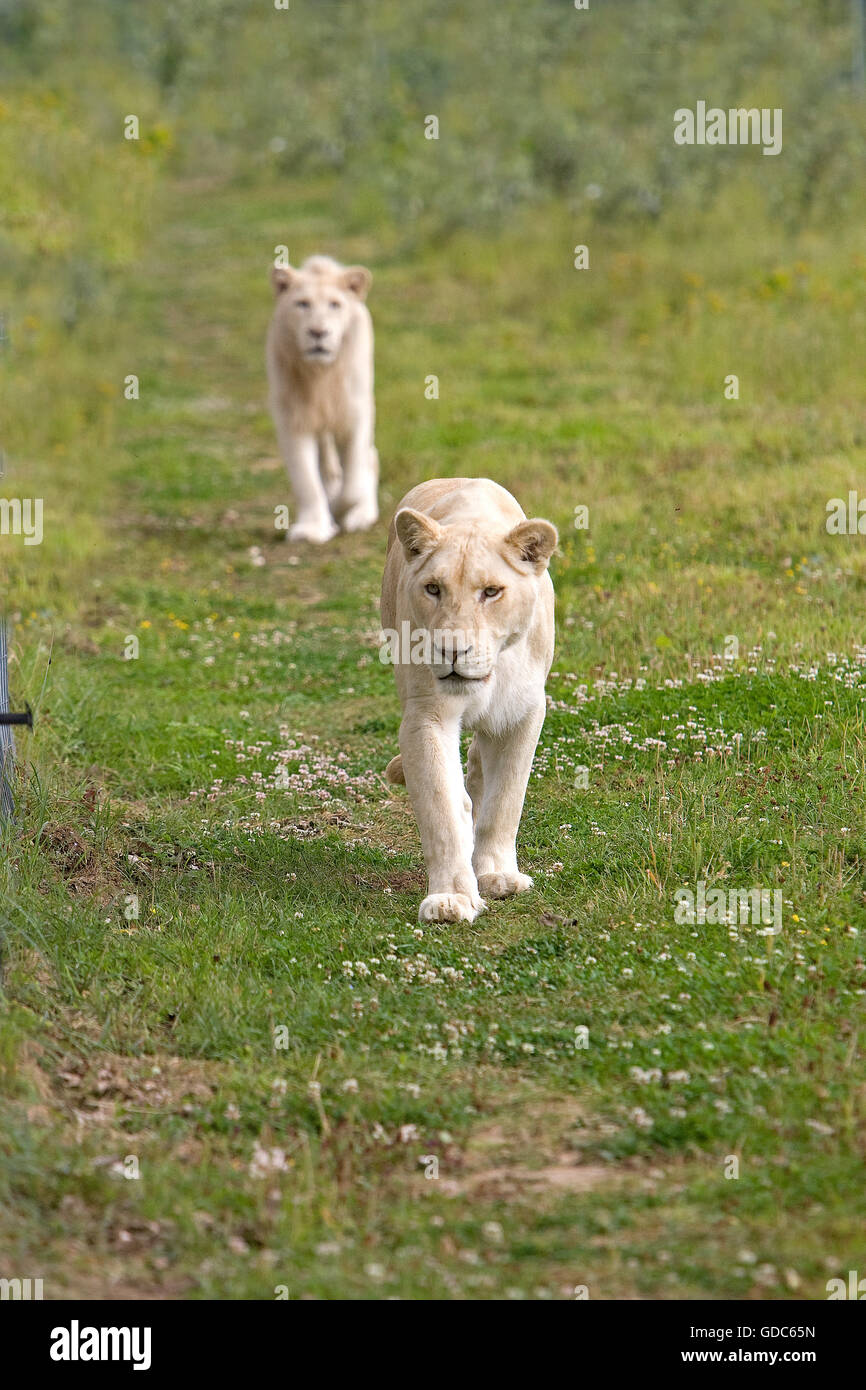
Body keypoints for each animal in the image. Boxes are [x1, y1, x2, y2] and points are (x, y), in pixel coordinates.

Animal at [266, 254, 379, 543]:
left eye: (335, 304)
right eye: (302, 304)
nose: (318, 332)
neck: (321, 376)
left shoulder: (355, 415)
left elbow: (353, 483)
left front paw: (341, 508)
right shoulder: (293, 421)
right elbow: (306, 481)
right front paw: (312, 529)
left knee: (369, 459)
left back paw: (362, 513)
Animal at [380, 477, 557, 923]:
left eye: (491, 592)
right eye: (433, 588)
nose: (452, 650)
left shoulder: (523, 712)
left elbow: (505, 800)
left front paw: (497, 876)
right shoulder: (426, 715)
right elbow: (442, 808)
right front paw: (451, 899)